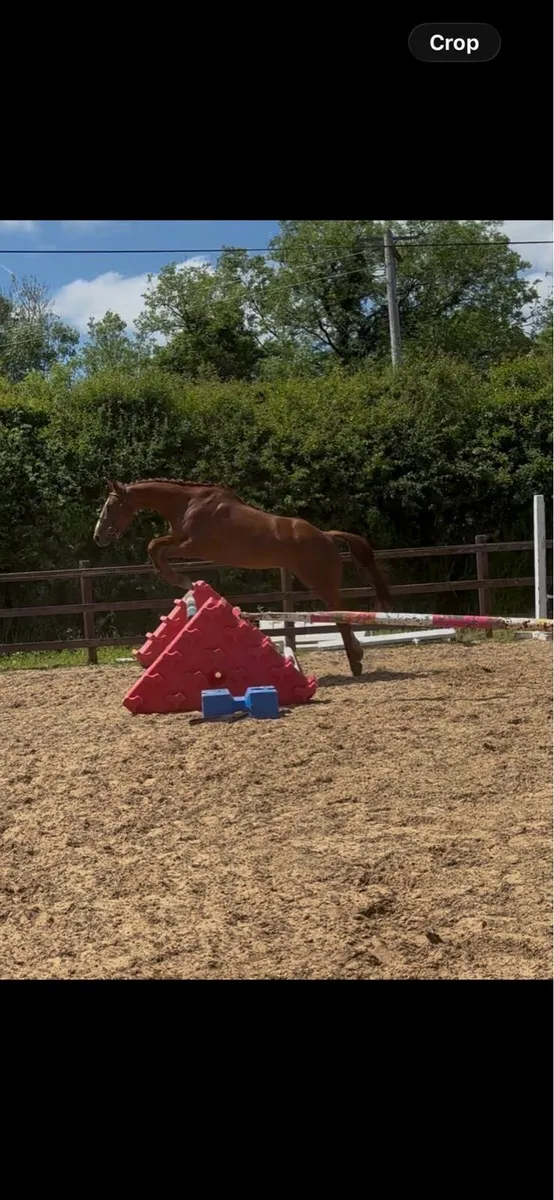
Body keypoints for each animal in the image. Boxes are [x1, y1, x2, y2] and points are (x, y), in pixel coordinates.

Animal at [93, 478, 391, 677]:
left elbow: (156, 547)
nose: (98, 537)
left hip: (320, 582)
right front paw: (176, 578)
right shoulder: (179, 539)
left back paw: (355, 663)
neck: (187, 504)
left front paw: (178, 579)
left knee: (341, 618)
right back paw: (357, 655)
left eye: (110, 505)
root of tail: (327, 536)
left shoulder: (192, 546)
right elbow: (155, 545)